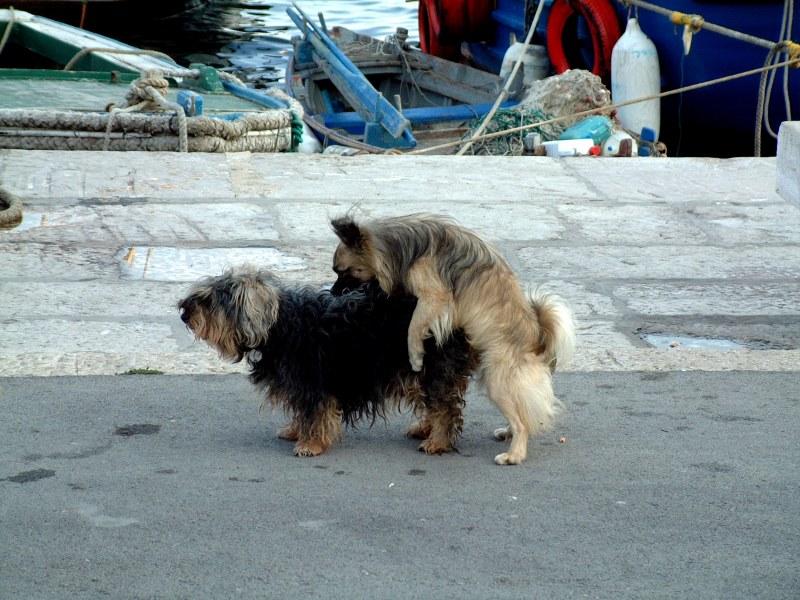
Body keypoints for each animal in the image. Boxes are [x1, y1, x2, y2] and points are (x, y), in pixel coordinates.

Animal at [179, 264, 478, 458]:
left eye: (211, 300)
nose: (183, 312)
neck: (279, 326)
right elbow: (302, 412)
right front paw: (295, 431)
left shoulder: (313, 382)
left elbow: (315, 413)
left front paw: (310, 444)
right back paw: (425, 428)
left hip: (434, 367)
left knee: (445, 406)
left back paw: (437, 441)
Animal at [328, 213, 580, 466]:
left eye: (342, 271)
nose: (331, 293)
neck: (403, 246)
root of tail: (539, 340)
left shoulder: (435, 297)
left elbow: (414, 325)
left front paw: (415, 356)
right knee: (523, 413)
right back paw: (507, 433)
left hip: (497, 381)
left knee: (522, 423)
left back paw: (514, 454)